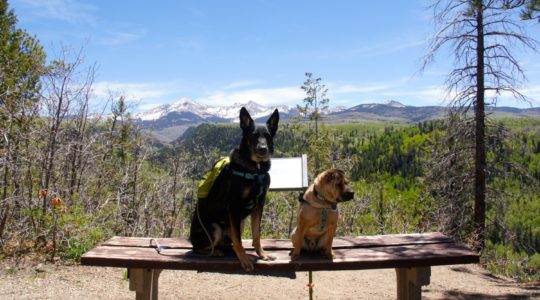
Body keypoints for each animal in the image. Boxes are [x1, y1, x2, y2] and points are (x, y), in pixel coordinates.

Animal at [190, 107, 280, 272]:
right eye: (253, 135)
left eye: (268, 136)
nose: (262, 149)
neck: (255, 170)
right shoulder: (233, 206)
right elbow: (238, 240)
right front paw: (244, 259)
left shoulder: (259, 205)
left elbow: (256, 235)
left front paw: (262, 254)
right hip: (215, 228)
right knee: (199, 248)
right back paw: (215, 251)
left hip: (239, 222)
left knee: (228, 241)